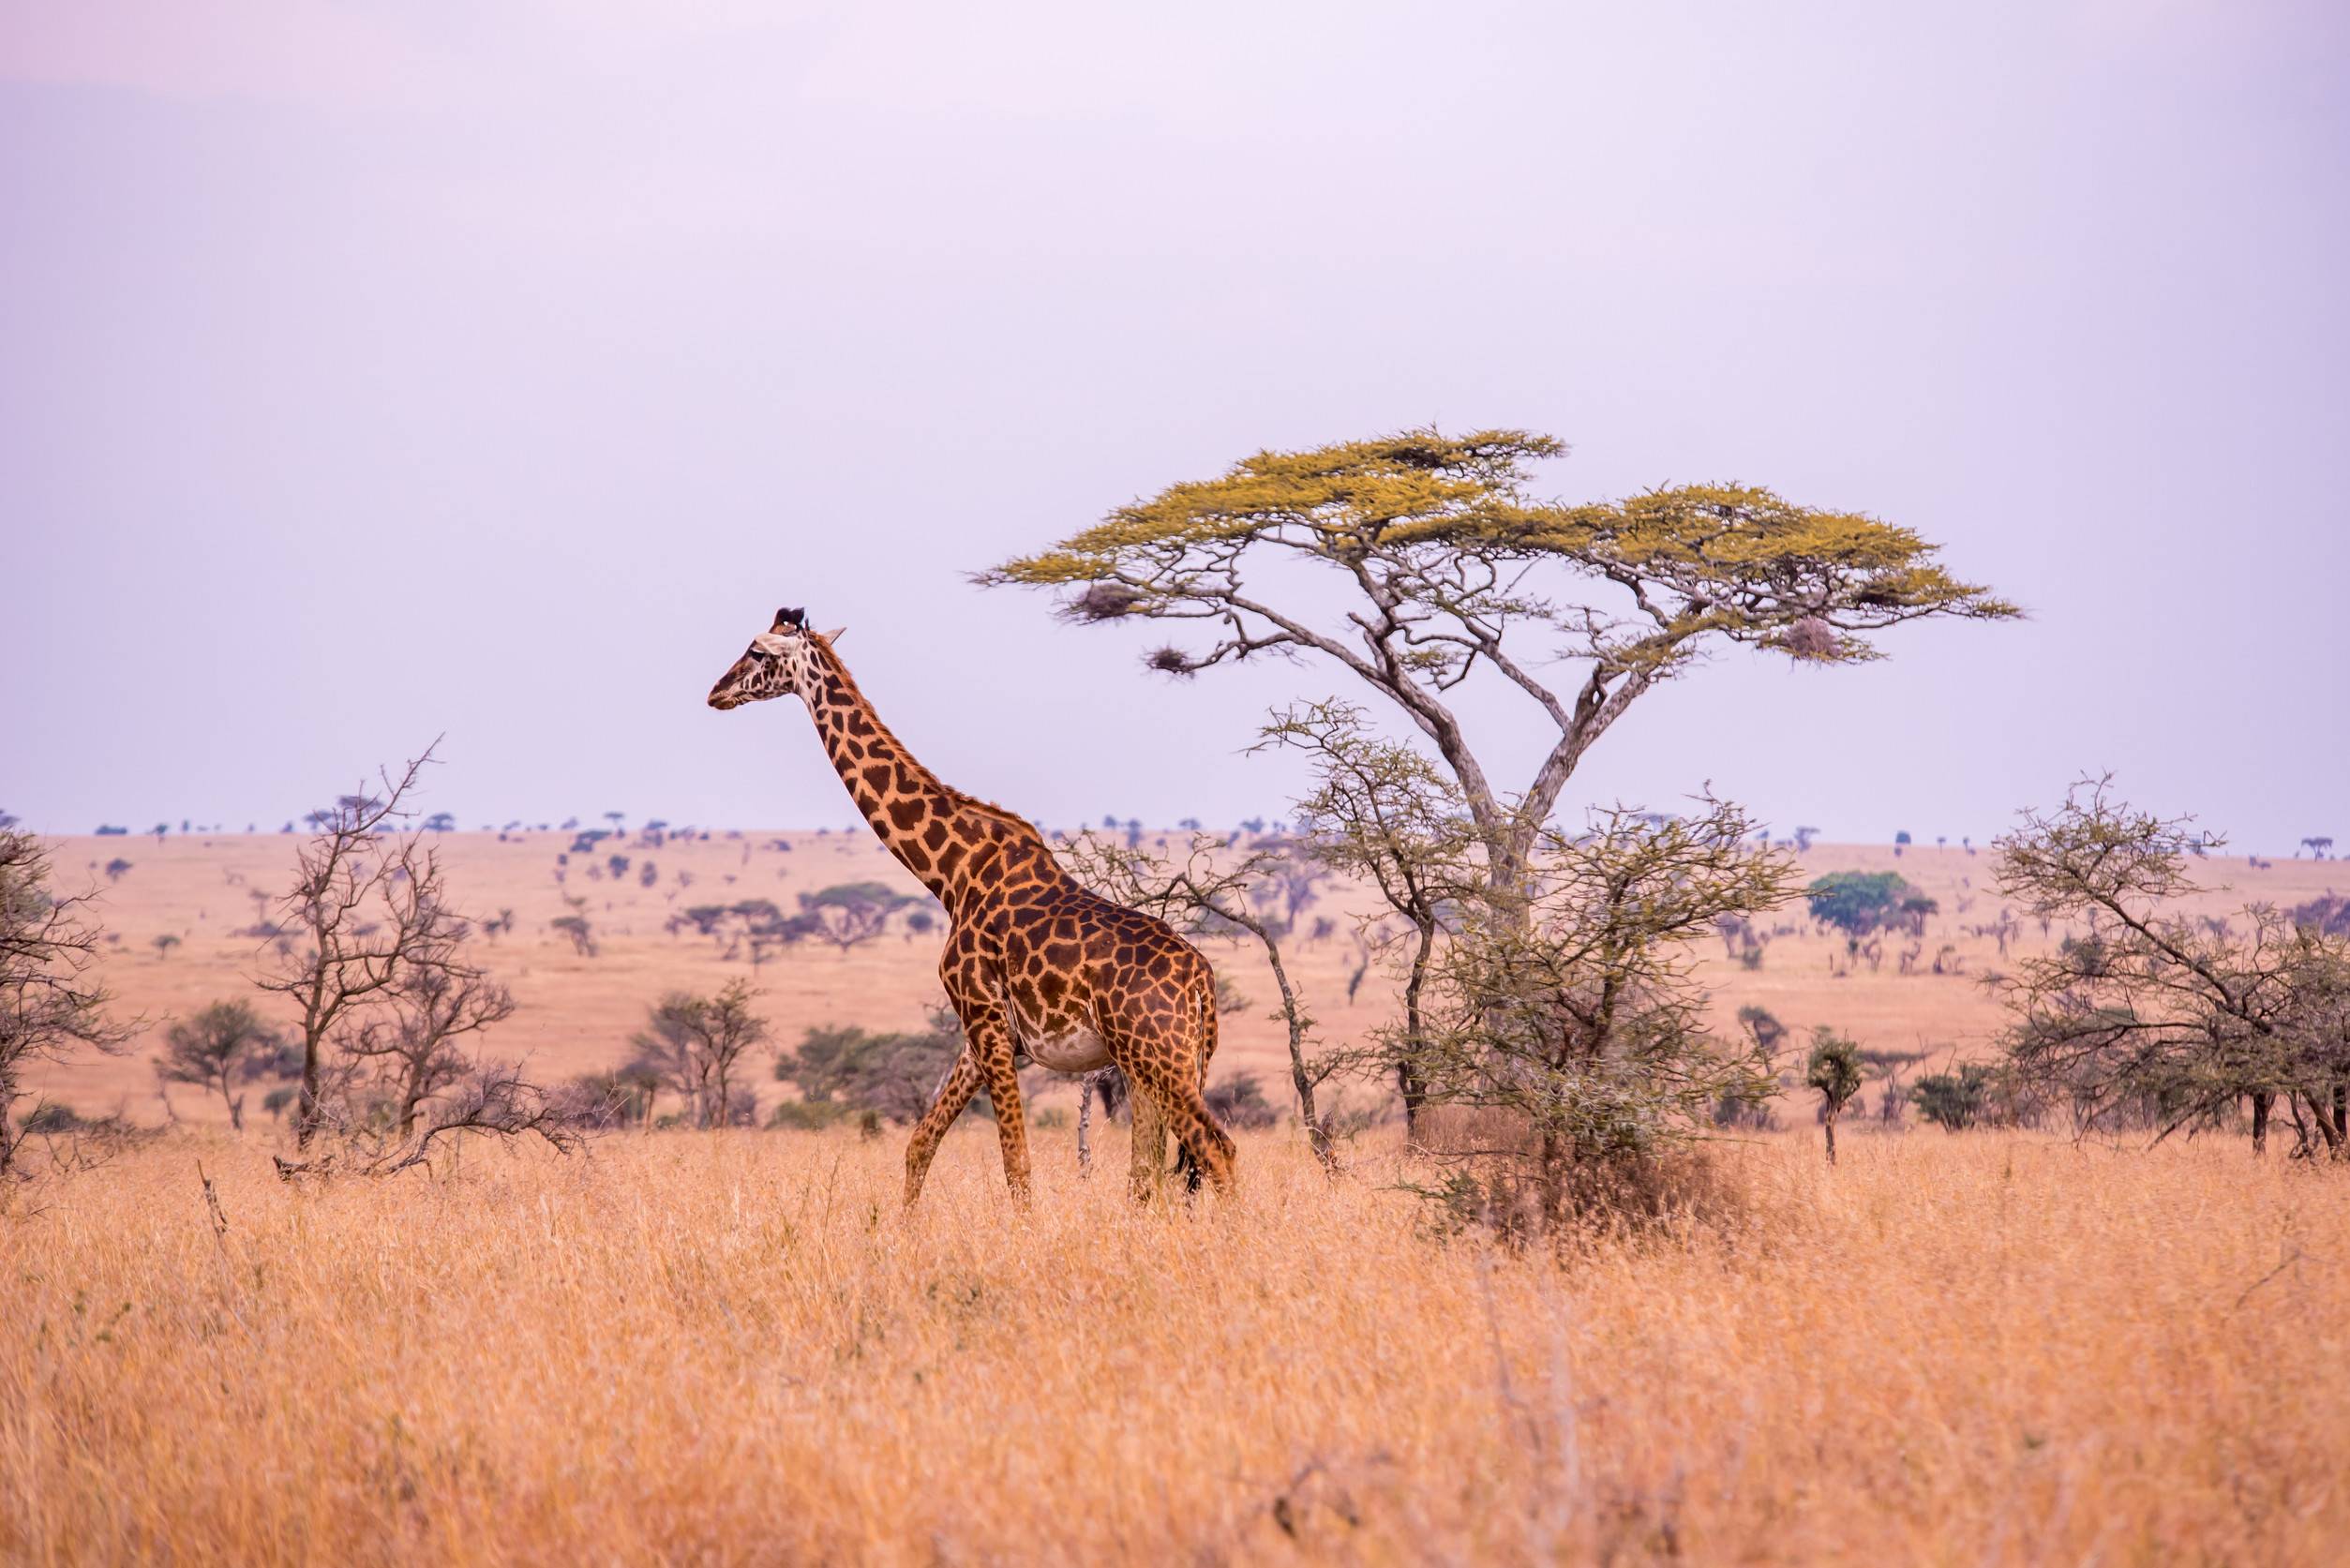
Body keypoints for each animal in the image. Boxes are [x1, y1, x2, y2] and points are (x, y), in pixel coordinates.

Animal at [705, 606, 1235, 1205]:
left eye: (756, 651)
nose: (716, 693)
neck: (952, 873)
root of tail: (1202, 983)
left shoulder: (984, 1020)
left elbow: (1016, 1165)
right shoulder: (981, 1034)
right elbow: (920, 1145)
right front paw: (900, 1225)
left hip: (1157, 1055)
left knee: (1216, 1148)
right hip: (1159, 1061)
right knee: (1149, 1171)